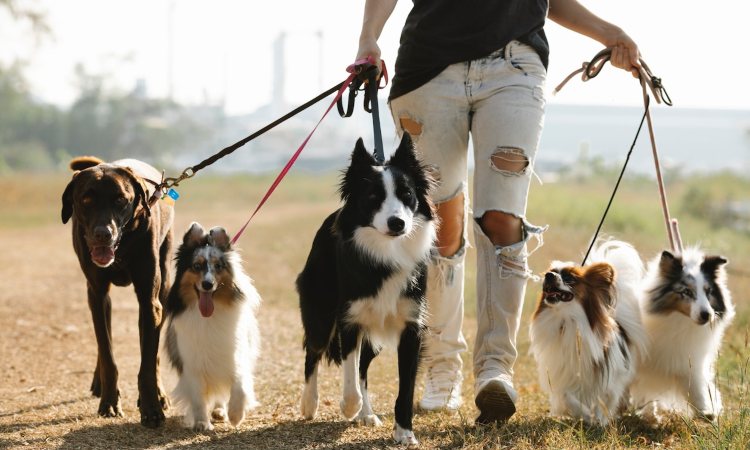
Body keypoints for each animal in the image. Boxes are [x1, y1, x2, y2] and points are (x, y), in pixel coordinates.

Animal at [62, 156, 175, 428]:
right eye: (86, 200)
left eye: (120, 200)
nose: (103, 234)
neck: (122, 246)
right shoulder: (97, 293)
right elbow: (107, 353)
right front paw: (110, 402)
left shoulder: (149, 301)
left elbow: (148, 363)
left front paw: (152, 407)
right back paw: (99, 382)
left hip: (164, 287)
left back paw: (159, 393)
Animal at [164, 223, 262, 430]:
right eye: (196, 266)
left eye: (218, 266)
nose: (207, 284)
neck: (209, 317)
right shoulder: (191, 364)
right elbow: (198, 398)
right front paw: (202, 423)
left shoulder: (235, 355)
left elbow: (240, 385)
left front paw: (235, 415)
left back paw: (220, 411)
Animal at [532, 241, 648, 424]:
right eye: (550, 272)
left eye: (570, 278)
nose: (549, 275)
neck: (567, 320)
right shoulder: (563, 373)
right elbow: (566, 396)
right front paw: (586, 415)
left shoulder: (610, 377)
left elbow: (604, 399)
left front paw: (599, 421)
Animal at [632, 246, 736, 422]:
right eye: (686, 291)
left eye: (708, 291)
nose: (707, 315)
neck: (680, 322)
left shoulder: (688, 361)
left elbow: (695, 388)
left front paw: (707, 412)